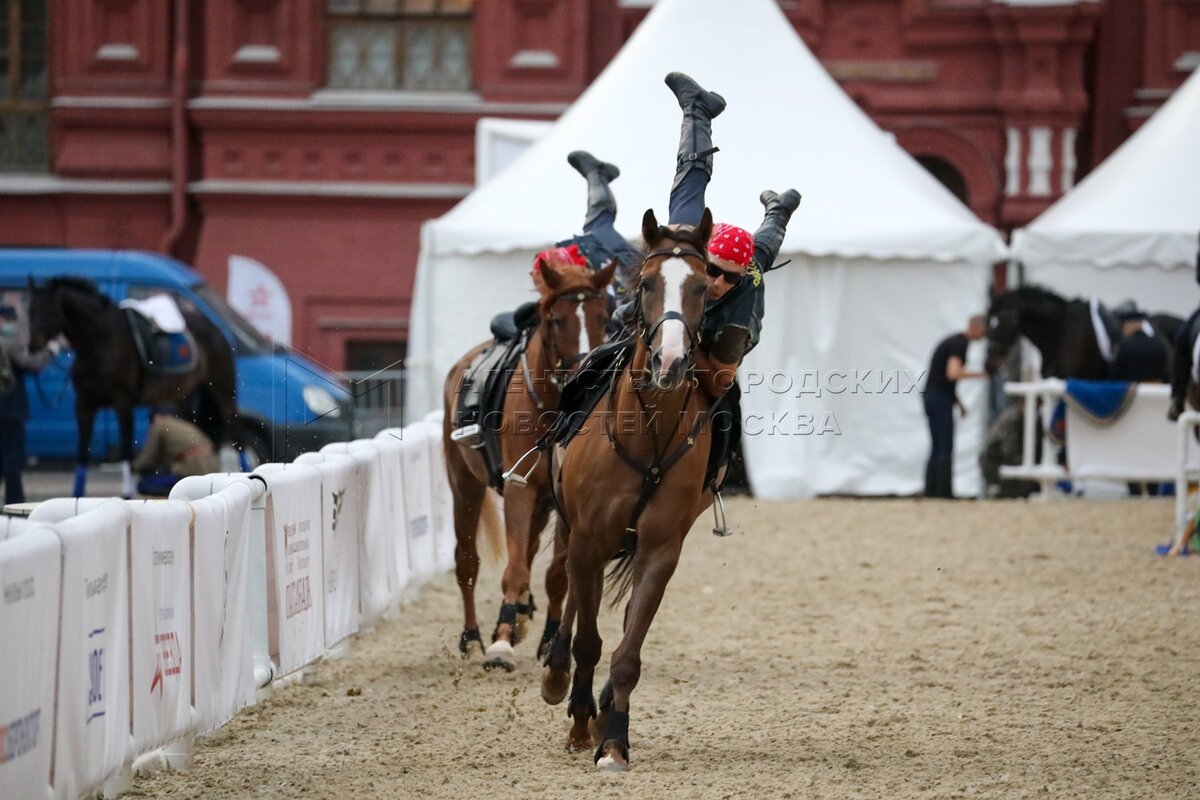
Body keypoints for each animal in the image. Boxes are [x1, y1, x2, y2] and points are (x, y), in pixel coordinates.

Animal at [27, 278, 238, 496]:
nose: (32, 345)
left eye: (49, 310)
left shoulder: (123, 403)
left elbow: (126, 450)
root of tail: (217, 329)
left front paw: (127, 494)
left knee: (235, 428)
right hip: (182, 396)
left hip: (223, 391)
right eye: (29, 310)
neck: (98, 341)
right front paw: (77, 494)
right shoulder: (84, 404)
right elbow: (82, 452)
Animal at [444, 260, 619, 671]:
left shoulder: (565, 501)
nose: (583, 372)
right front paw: (500, 645)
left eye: (604, 318)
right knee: (468, 562)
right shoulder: (519, 490)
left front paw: (550, 639)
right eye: (555, 320)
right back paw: (474, 636)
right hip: (464, 484)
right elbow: (515, 569)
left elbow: (557, 575)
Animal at [544, 209, 720, 772]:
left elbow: (627, 652)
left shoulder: (660, 550)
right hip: (571, 530)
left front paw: (614, 738)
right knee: (566, 593)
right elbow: (588, 641)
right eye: (646, 284)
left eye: (702, 288)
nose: (669, 362)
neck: (648, 430)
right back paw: (558, 678)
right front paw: (581, 721)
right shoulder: (587, 540)